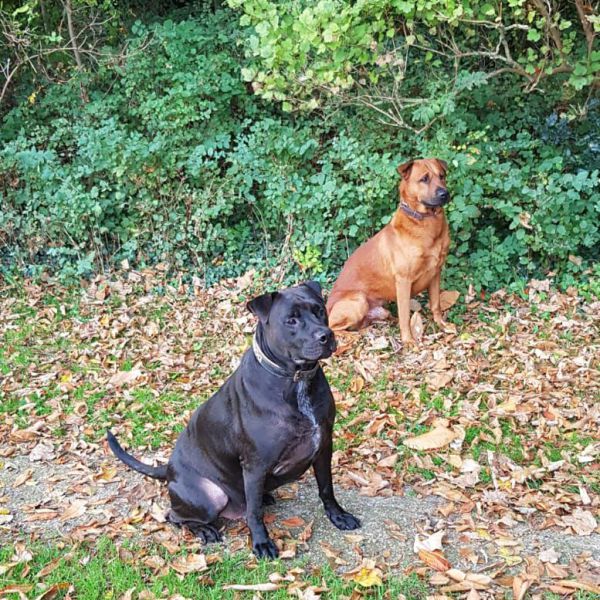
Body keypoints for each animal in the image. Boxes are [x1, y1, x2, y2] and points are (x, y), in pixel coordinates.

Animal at [106, 282, 360, 556]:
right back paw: (204, 530)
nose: (326, 336)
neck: (295, 380)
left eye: (319, 310)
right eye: (290, 320)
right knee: (174, 517)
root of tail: (169, 469)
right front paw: (261, 542)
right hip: (209, 497)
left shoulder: (323, 446)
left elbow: (327, 488)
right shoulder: (255, 465)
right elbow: (254, 513)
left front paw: (338, 516)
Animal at [328, 158, 450, 346]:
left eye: (442, 176)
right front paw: (408, 340)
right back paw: (351, 336)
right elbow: (405, 315)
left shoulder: (436, 273)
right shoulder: (403, 281)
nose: (445, 193)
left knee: (364, 323)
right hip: (358, 300)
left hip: (379, 311)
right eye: (424, 179)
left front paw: (442, 324)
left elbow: (435, 304)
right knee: (333, 327)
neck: (425, 223)